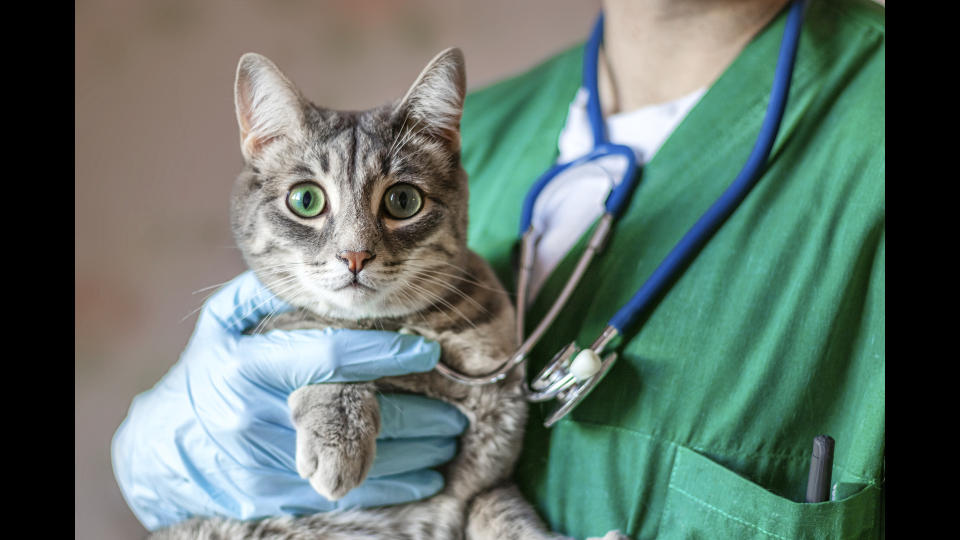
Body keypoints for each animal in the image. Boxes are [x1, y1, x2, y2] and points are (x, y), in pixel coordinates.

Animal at [152, 49, 624, 540]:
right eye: (305, 200)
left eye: (403, 201)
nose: (355, 255)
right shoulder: (275, 329)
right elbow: (319, 336)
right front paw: (339, 433)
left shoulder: (480, 489)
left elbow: (508, 521)